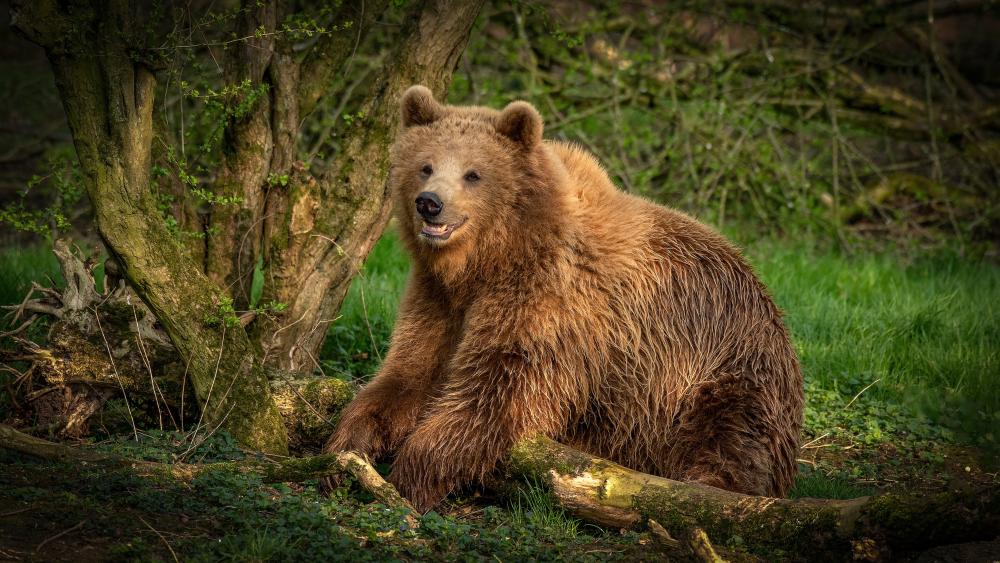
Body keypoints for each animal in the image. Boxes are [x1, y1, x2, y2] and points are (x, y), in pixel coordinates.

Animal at [325, 85, 804, 512]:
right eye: (425, 166)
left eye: (473, 173)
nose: (430, 203)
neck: (490, 260)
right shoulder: (439, 299)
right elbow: (410, 370)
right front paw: (347, 447)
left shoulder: (550, 305)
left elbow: (496, 393)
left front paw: (408, 478)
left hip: (724, 369)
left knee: (731, 437)